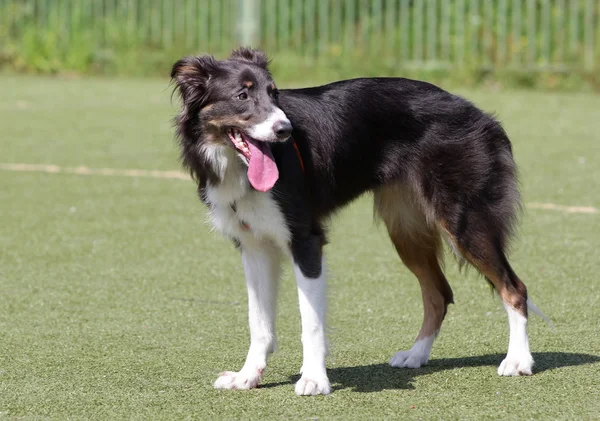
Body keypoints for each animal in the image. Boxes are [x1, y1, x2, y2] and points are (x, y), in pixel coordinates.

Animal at [171, 48, 536, 394]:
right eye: (242, 95)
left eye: (274, 94)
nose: (285, 130)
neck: (237, 167)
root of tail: (481, 114)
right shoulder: (254, 246)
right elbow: (258, 323)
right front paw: (248, 377)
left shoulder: (306, 241)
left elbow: (310, 322)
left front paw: (314, 380)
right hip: (406, 230)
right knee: (439, 293)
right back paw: (416, 355)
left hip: (463, 222)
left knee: (513, 287)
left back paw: (518, 360)